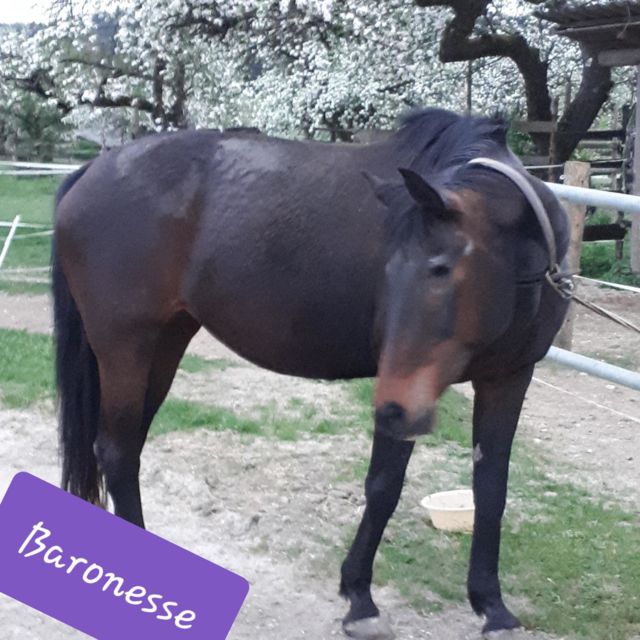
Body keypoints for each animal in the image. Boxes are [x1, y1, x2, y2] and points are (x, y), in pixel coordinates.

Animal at [52, 108, 570, 639]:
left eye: (441, 268)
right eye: (388, 270)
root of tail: (90, 173)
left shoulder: (508, 378)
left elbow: (491, 488)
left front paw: (492, 605)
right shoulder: (400, 393)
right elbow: (384, 485)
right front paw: (360, 598)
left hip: (164, 345)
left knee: (125, 449)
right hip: (126, 348)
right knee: (116, 452)